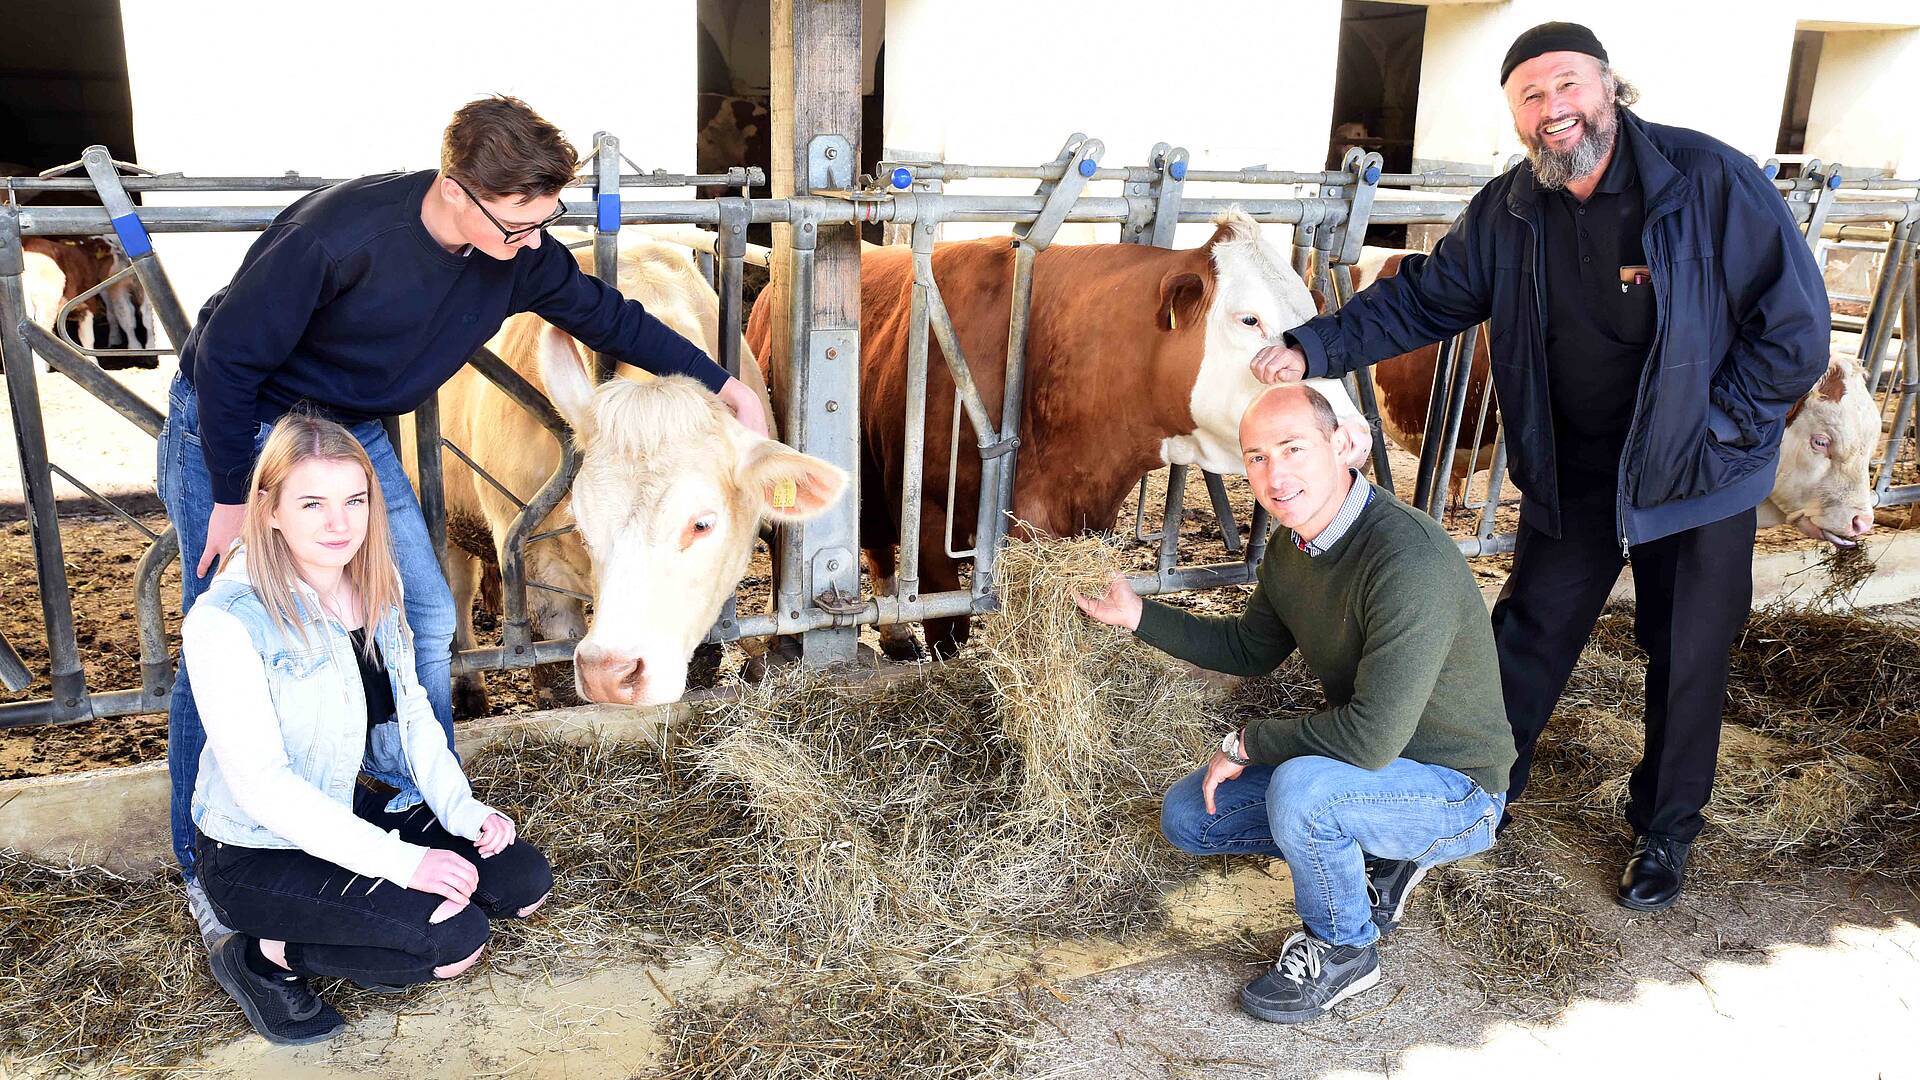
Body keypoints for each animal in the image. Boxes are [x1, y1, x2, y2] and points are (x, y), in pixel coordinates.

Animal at [405, 237, 840, 707]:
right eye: (581, 524)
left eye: (701, 524)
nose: (607, 673)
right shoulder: (531, 562)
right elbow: (558, 678)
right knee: (456, 589)